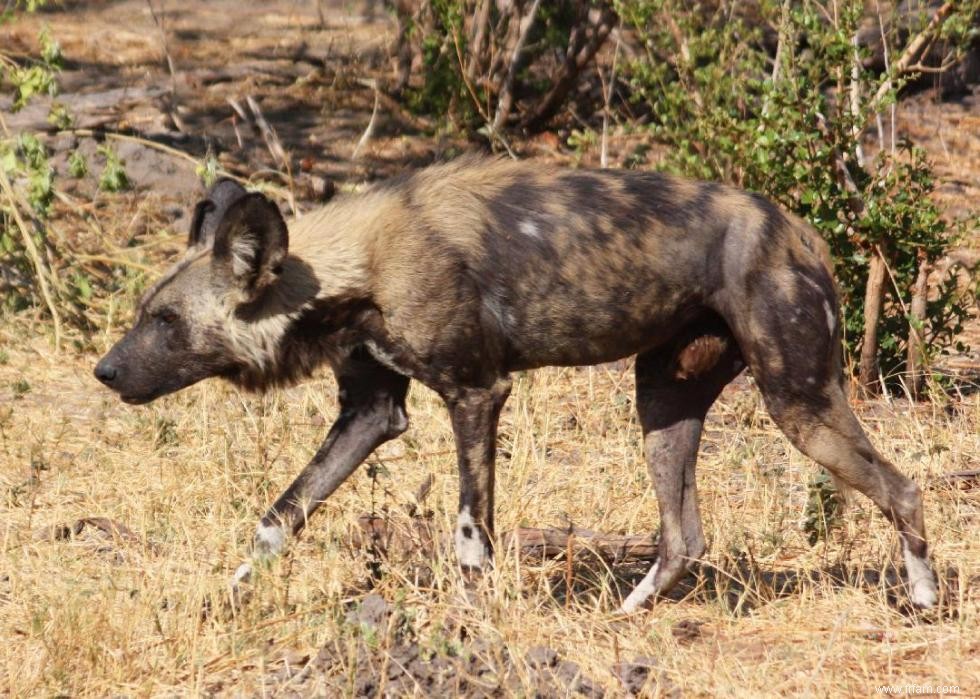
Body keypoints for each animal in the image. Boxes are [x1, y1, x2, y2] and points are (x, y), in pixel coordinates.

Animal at [95, 157, 936, 612]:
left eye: (166, 321)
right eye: (145, 314)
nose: (104, 371)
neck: (356, 270)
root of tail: (802, 230)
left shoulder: (476, 394)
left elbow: (471, 537)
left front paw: (470, 623)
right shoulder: (372, 412)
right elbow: (279, 516)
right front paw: (229, 596)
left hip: (800, 403)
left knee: (902, 487)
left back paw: (924, 598)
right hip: (662, 405)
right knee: (683, 536)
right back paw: (623, 616)